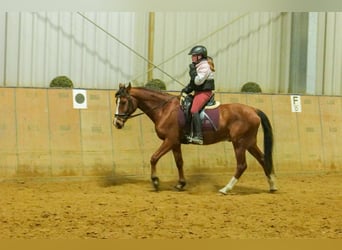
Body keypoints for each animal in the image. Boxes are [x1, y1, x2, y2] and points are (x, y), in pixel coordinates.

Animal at [113, 83, 276, 194]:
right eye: (117, 102)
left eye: (123, 102)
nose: (117, 123)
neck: (164, 109)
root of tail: (253, 110)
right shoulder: (175, 143)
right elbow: (179, 162)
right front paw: (181, 184)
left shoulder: (169, 140)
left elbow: (154, 158)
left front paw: (155, 181)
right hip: (249, 143)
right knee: (263, 159)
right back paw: (272, 186)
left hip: (239, 144)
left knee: (242, 165)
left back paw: (226, 189)